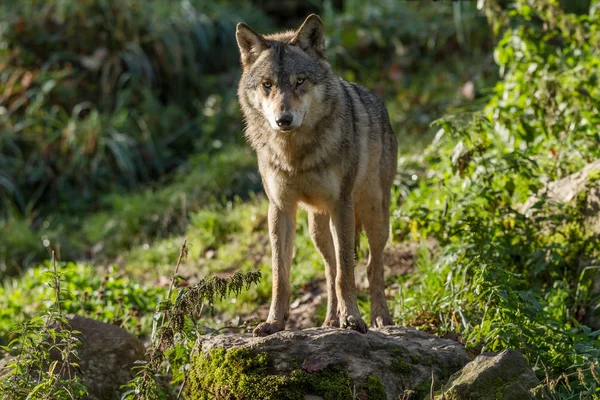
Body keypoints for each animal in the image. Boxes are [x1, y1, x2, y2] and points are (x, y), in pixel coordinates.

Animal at [234, 14, 398, 336]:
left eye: (300, 81)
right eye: (267, 85)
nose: (283, 120)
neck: (295, 156)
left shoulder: (341, 205)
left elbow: (347, 273)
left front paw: (353, 319)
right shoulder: (280, 209)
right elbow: (281, 276)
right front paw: (274, 322)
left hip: (374, 214)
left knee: (371, 265)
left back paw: (380, 318)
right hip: (316, 229)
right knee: (330, 269)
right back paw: (330, 320)